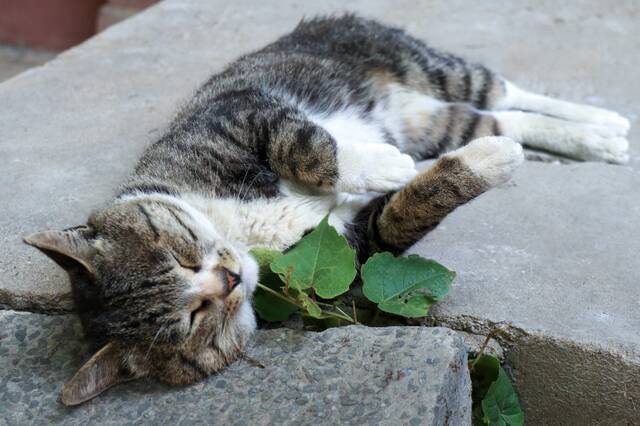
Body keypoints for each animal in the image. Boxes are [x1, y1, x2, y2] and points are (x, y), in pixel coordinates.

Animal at [22, 14, 628, 406]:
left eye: (181, 256)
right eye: (194, 321)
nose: (229, 277)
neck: (243, 232)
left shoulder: (237, 116)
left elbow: (308, 147)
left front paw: (384, 162)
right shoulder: (356, 245)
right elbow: (406, 210)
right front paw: (479, 163)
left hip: (417, 63)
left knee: (503, 90)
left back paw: (605, 125)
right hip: (439, 119)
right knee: (494, 118)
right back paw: (568, 139)